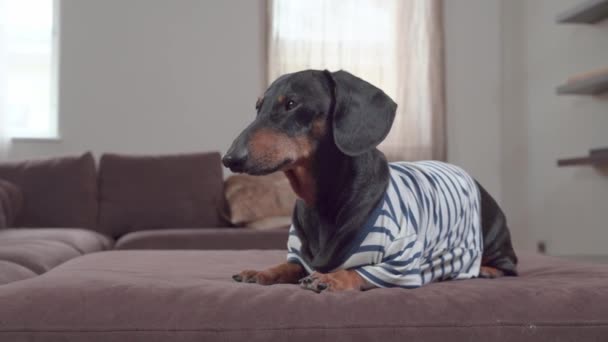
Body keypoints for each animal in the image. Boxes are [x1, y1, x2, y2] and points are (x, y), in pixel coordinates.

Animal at [223, 69, 516, 292]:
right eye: (258, 107)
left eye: (292, 104)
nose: (229, 158)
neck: (322, 201)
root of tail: (467, 174)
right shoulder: (298, 257)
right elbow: (287, 265)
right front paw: (261, 272)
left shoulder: (402, 263)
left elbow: (359, 270)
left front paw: (330, 278)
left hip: (493, 236)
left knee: (509, 265)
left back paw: (487, 269)